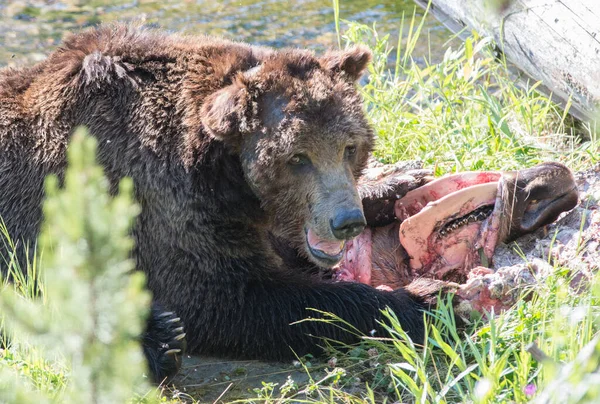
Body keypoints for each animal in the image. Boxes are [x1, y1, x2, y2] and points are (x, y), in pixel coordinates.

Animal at [0, 24, 426, 382]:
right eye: (297, 157)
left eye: (350, 147)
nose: (346, 221)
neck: (226, 172)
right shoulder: (160, 201)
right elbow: (227, 295)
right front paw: (415, 301)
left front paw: (401, 179)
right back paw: (157, 339)